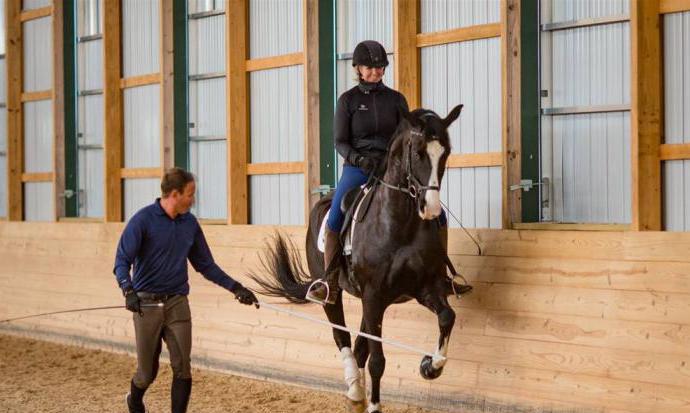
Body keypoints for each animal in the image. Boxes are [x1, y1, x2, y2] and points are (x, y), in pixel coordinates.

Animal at [250, 104, 460, 410]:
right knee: (343, 337)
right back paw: (354, 389)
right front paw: (374, 406)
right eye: (419, 152)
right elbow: (378, 361)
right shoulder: (374, 295)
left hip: (371, 301)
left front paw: (430, 366)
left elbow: (446, 317)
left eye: (445, 152)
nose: (430, 209)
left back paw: (358, 392)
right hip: (337, 293)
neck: (400, 223)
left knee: (360, 346)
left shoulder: (423, 288)